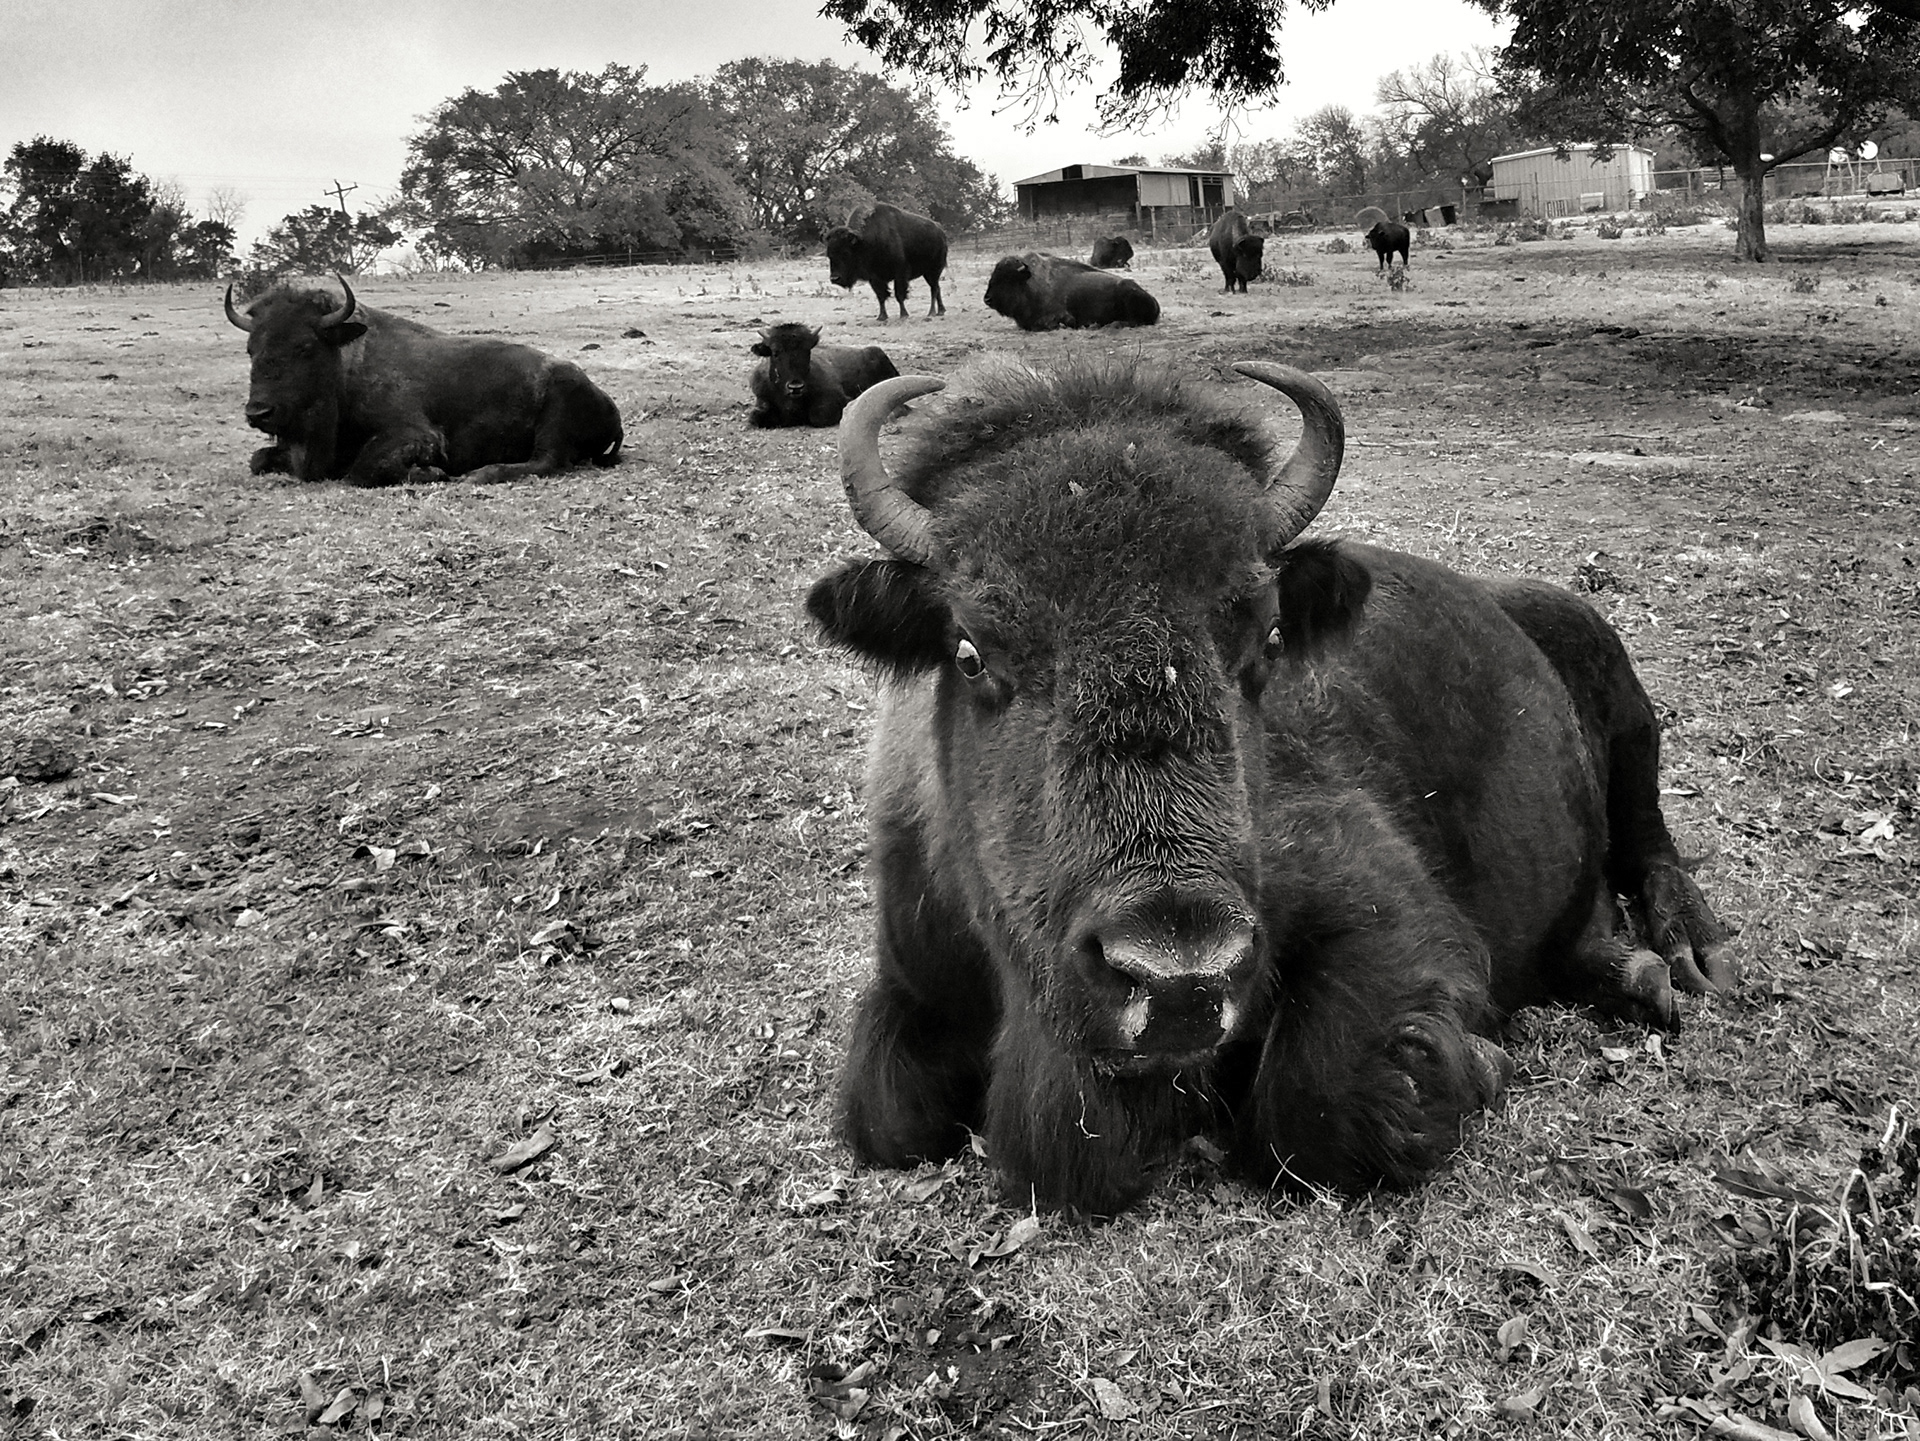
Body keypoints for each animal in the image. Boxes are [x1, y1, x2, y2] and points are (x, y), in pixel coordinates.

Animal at [225, 275, 622, 486]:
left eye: (305, 347)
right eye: (250, 348)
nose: (258, 412)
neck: (348, 363)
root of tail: (607, 402)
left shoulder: (415, 434)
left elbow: (362, 471)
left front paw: (431, 472)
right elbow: (258, 459)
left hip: (555, 414)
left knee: (546, 462)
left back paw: (478, 474)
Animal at [807, 360, 1730, 1216]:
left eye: (1270, 635)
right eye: (969, 651)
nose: (1179, 980)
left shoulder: (1385, 910)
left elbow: (1319, 1104)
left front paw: (1483, 1062)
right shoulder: (913, 972)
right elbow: (888, 1116)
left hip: (1616, 686)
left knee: (1649, 837)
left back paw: (1683, 958)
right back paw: (1628, 968)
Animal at [983, 252, 1160, 331]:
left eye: (1007, 278)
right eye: (993, 275)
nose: (987, 299)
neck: (1028, 282)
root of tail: (1154, 300)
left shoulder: (1060, 317)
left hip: (1128, 293)